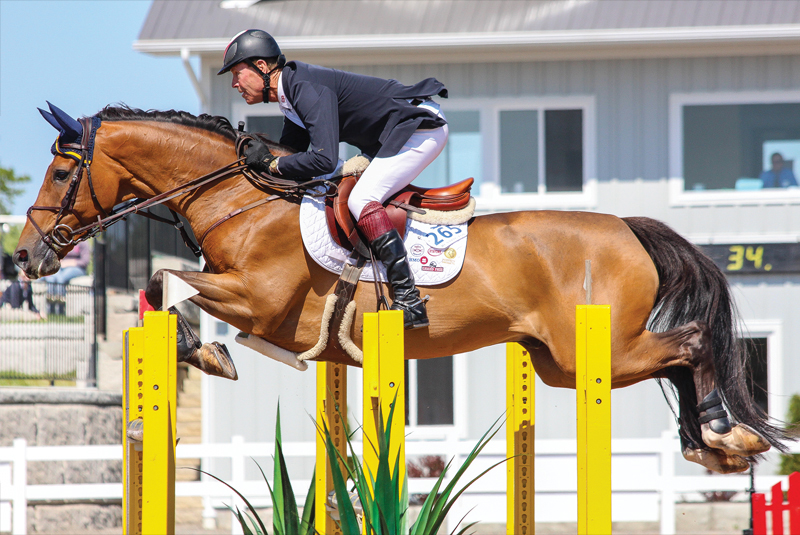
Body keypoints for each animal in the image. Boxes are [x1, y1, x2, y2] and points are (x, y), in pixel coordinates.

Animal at [14, 104, 789, 474]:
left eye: (62, 172)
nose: (24, 256)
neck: (241, 199)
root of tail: (627, 227)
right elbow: (167, 285)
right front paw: (201, 352)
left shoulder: (258, 299)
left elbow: (168, 280)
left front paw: (207, 354)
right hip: (561, 363)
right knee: (679, 354)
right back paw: (713, 444)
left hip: (597, 350)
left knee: (691, 341)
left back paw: (725, 433)